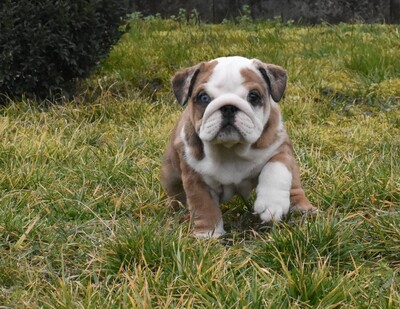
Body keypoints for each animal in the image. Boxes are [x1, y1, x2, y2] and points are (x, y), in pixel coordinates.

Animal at [161, 56, 314, 237]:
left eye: (253, 96)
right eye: (203, 97)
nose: (228, 107)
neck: (230, 149)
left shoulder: (280, 148)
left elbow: (276, 168)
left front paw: (272, 204)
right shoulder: (195, 178)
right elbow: (204, 206)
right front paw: (208, 235)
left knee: (295, 186)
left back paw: (302, 208)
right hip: (170, 175)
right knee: (177, 196)